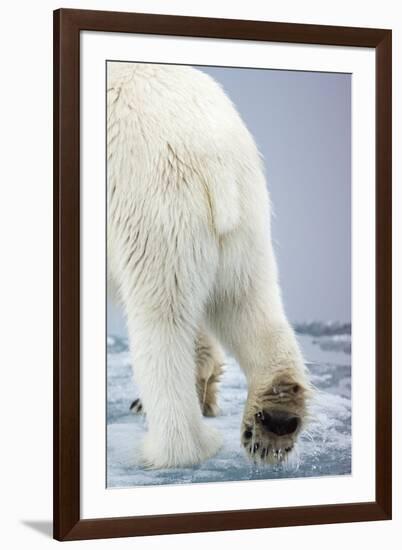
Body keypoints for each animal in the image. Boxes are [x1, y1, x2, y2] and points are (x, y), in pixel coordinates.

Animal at [107, 63, 310, 470]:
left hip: (155, 207)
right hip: (247, 219)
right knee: (246, 301)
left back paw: (176, 446)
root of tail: (213, 155)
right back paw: (274, 418)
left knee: (161, 318)